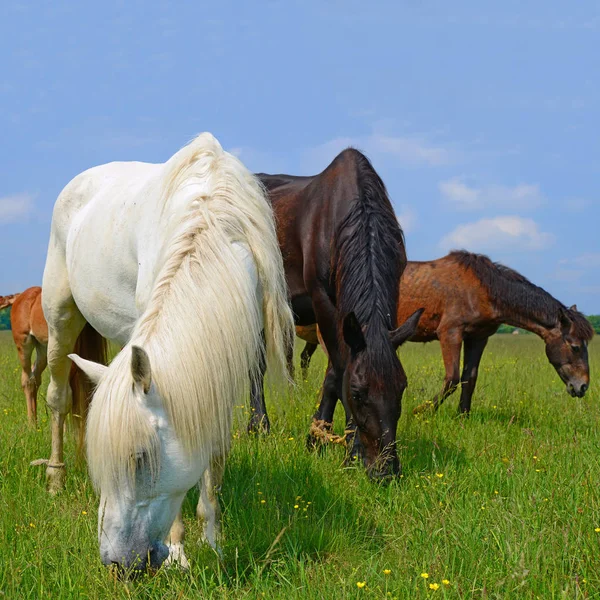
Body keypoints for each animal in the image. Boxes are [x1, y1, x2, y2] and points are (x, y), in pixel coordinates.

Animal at [41, 132, 294, 572]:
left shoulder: (225, 361)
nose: (116, 564)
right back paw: (55, 479)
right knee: (57, 396)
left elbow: (213, 454)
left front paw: (213, 542)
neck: (213, 224)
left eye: (141, 458)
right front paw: (179, 550)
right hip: (60, 319)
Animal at [248, 150, 422, 478]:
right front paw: (351, 451)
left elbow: (333, 374)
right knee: (256, 365)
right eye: (358, 393)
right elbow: (341, 370)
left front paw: (316, 438)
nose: (386, 471)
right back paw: (258, 427)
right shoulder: (323, 303)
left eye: (402, 388)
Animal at [300, 251, 592, 428]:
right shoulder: (450, 333)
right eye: (575, 347)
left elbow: (469, 378)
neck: (482, 288)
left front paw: (463, 417)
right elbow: (451, 378)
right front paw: (421, 412)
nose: (582, 387)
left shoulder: (479, 337)